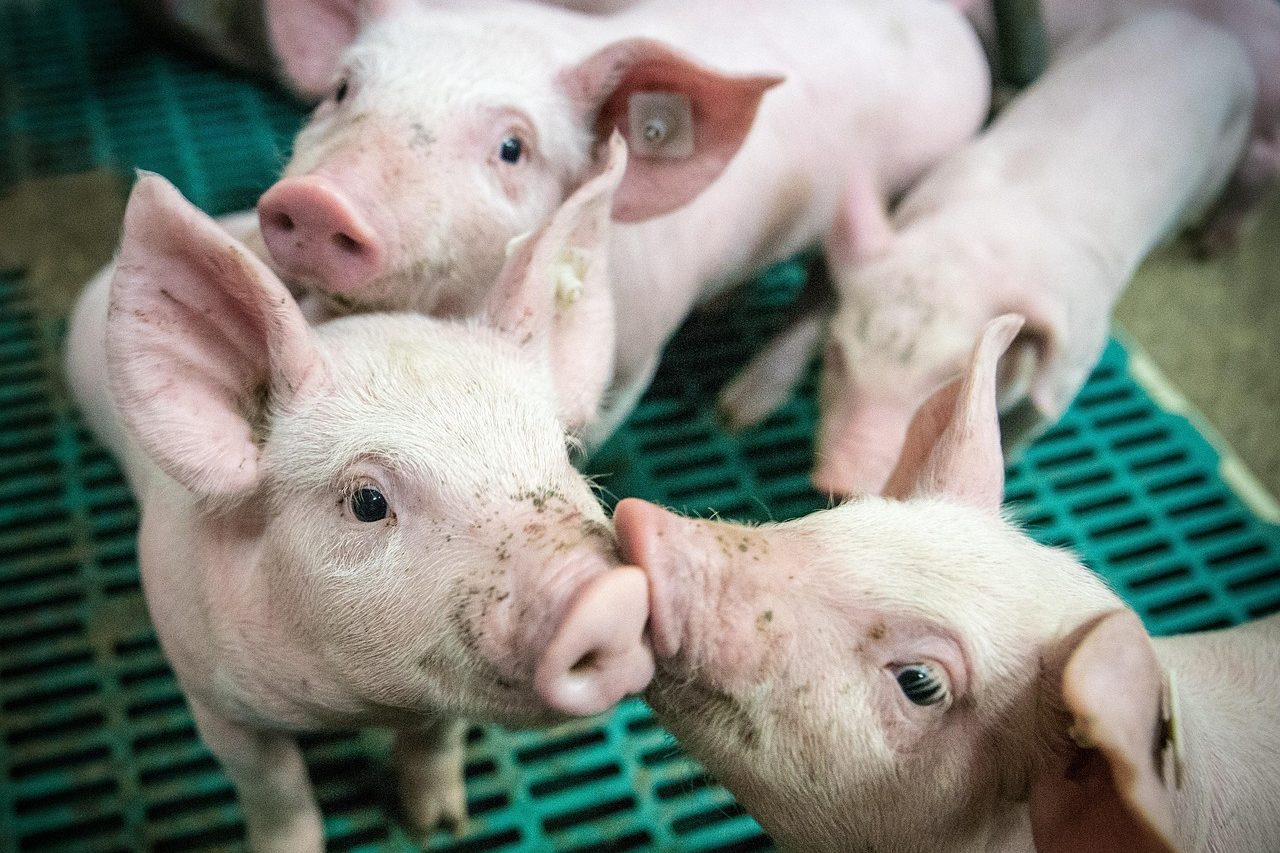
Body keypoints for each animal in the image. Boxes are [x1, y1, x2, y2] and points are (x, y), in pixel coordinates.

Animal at [63, 138, 656, 851]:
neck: (347, 706)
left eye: (565, 453)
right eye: (367, 501)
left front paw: (442, 827)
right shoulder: (212, 698)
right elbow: (275, 788)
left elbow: (435, 743)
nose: (610, 594)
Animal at [250, 0, 990, 445]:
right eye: (342, 89)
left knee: (823, 291)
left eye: (512, 148)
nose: (319, 201)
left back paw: (736, 412)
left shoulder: (636, 349)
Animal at [720, 7, 1256, 497]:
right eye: (836, 352)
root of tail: (1201, 26)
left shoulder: (1078, 355)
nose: (837, 480)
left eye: (954, 379)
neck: (974, 247)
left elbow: (1036, 415)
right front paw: (732, 415)